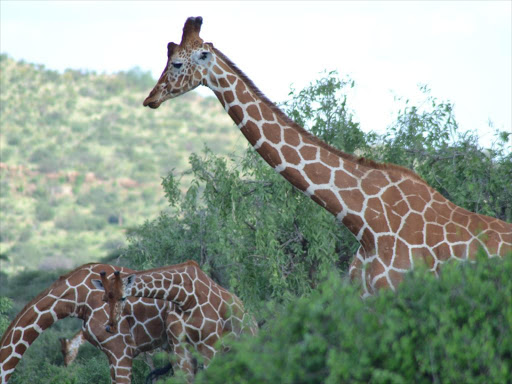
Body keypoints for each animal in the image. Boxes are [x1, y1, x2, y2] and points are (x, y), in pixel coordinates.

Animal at [92, 260, 258, 380]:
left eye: (123, 297)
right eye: (104, 299)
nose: (110, 327)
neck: (186, 299)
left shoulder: (210, 346)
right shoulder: (180, 348)